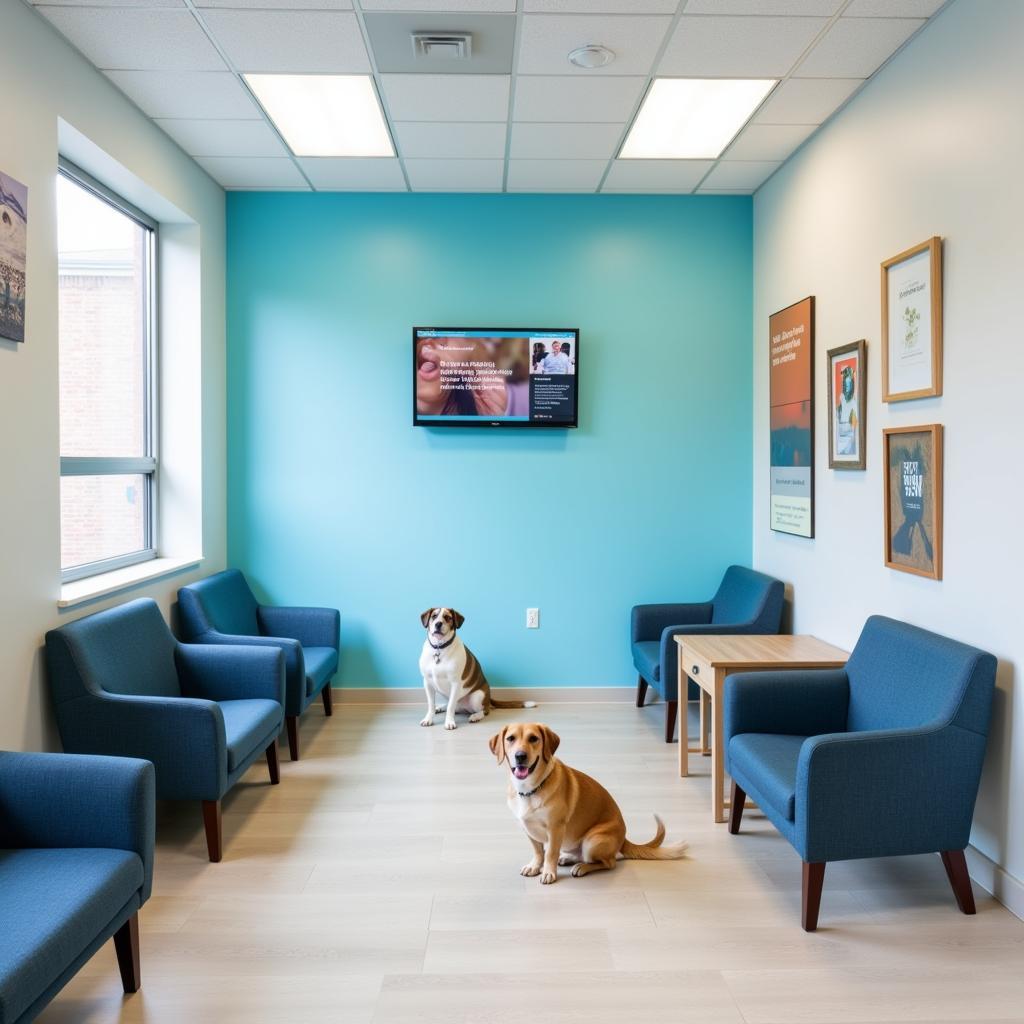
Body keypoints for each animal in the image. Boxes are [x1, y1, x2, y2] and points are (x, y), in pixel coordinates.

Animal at [487, 724, 688, 884]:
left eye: (533, 738)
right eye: (510, 738)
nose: (520, 756)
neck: (530, 790)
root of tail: (624, 839)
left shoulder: (556, 828)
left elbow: (550, 853)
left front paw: (548, 872)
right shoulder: (527, 828)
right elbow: (538, 852)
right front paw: (535, 866)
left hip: (593, 841)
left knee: (608, 862)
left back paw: (581, 867)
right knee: (580, 855)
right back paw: (568, 859)